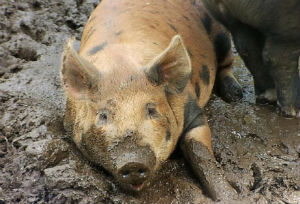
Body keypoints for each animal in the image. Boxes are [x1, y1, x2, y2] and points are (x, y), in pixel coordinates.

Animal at [60, 0, 241, 201]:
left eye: (151, 110)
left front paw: (229, 197)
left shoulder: (193, 111)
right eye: (103, 116)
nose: (132, 162)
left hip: (221, 34)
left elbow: (202, 154)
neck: (121, 65)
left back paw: (235, 95)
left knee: (227, 62)